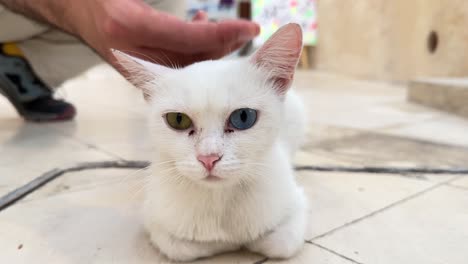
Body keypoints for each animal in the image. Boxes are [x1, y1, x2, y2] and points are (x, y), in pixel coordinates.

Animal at [113, 23, 308, 262]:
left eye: (243, 117)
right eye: (178, 119)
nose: (208, 158)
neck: (219, 198)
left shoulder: (297, 207)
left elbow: (279, 243)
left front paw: (246, 240)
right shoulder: (154, 218)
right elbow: (184, 247)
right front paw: (227, 242)